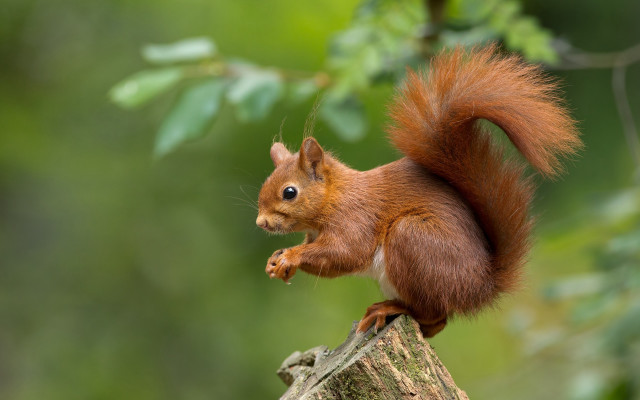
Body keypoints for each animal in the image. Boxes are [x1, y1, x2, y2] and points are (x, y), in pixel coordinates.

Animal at [255, 46, 582, 337]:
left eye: (289, 192)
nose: (261, 223)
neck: (334, 198)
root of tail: (480, 287)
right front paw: (277, 259)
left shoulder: (356, 218)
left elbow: (345, 253)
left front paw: (291, 256)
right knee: (437, 324)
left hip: (413, 239)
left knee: (434, 314)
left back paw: (390, 309)